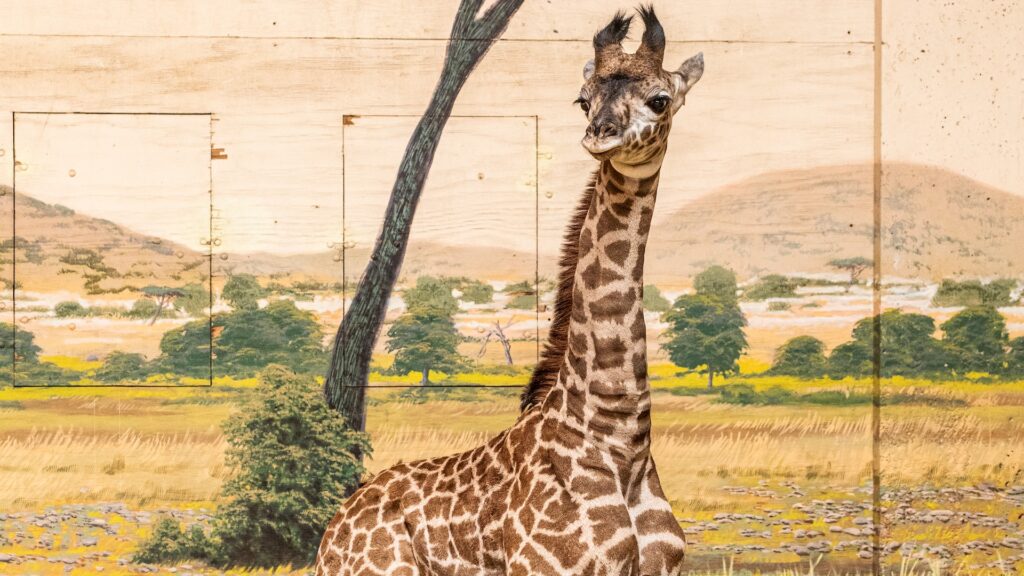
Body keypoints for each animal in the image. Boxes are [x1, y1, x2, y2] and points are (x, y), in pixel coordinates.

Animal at [315, 7, 704, 575]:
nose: (600, 133)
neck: (620, 440)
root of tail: (334, 526)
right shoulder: (546, 567)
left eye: (660, 99)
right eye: (583, 98)